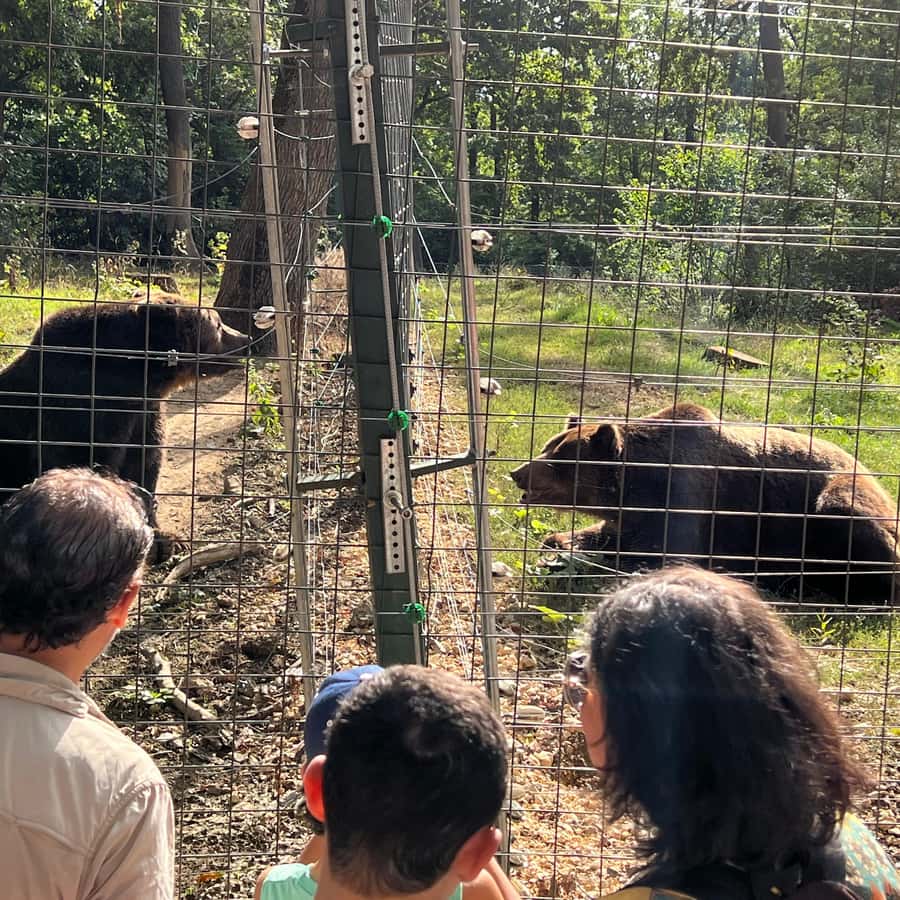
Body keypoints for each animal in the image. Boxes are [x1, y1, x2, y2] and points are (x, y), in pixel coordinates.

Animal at [0, 296, 250, 559]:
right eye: (218, 324)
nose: (246, 338)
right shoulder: (79, 411)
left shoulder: (143, 415)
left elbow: (144, 465)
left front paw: (166, 540)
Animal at [510, 402, 900, 605]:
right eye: (547, 446)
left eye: (559, 458)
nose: (517, 472)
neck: (636, 484)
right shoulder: (633, 513)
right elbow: (605, 533)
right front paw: (558, 542)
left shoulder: (688, 500)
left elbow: (653, 552)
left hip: (836, 502)